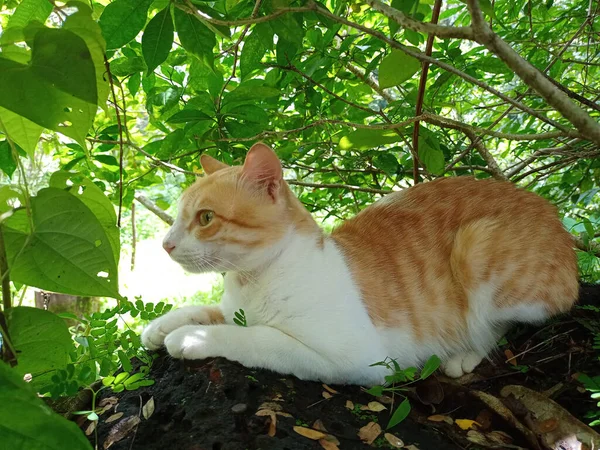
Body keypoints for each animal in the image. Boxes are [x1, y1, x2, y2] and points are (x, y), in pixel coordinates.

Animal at [141, 142, 576, 384]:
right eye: (177, 216)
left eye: (205, 218)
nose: (165, 244)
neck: (251, 281)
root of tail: (547, 208)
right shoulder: (232, 308)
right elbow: (206, 309)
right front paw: (161, 327)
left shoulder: (356, 358)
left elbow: (258, 338)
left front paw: (192, 339)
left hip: (478, 249)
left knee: (501, 323)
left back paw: (465, 352)